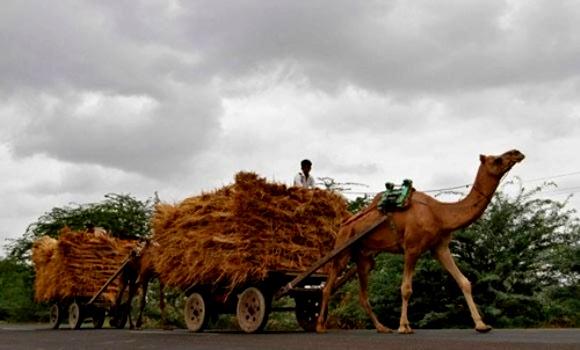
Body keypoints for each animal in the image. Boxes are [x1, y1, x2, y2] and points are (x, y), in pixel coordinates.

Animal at [318, 148, 524, 334]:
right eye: (497, 159)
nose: (517, 153)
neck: (439, 214)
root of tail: (343, 224)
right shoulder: (412, 247)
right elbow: (406, 288)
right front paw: (404, 327)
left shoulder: (440, 247)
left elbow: (464, 282)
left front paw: (481, 325)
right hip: (343, 248)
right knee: (328, 286)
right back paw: (320, 326)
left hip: (364, 258)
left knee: (362, 294)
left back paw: (382, 328)